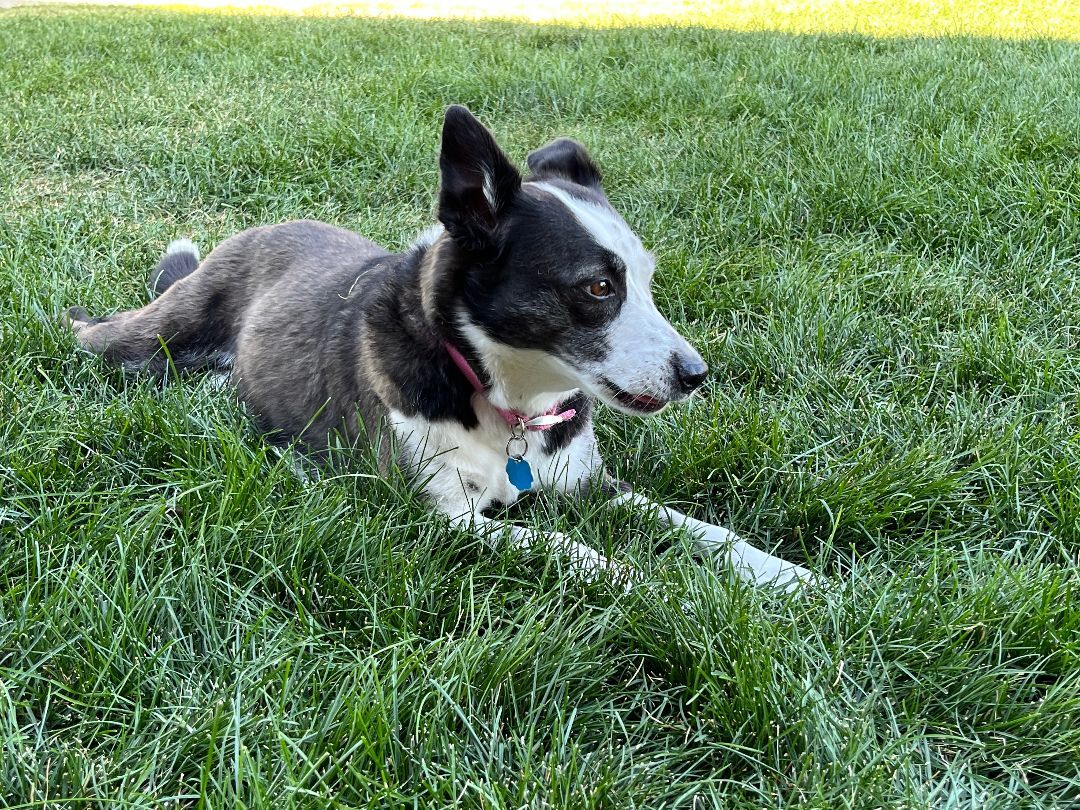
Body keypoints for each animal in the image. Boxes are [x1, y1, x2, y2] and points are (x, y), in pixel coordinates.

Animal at [67, 105, 812, 592]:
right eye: (599, 286)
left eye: (648, 278)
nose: (695, 374)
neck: (509, 401)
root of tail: (255, 231)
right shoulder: (447, 518)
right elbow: (584, 554)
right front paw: (675, 593)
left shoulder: (592, 484)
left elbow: (705, 531)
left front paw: (790, 577)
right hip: (148, 334)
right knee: (89, 334)